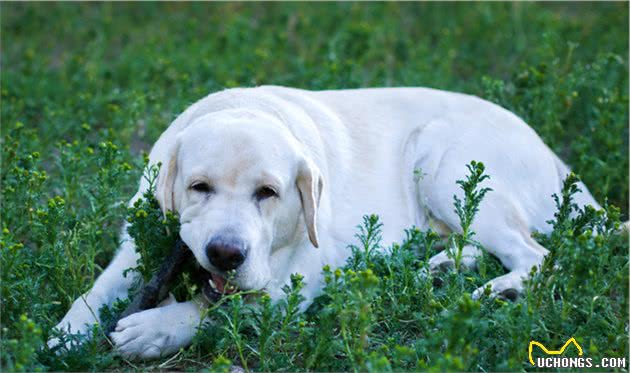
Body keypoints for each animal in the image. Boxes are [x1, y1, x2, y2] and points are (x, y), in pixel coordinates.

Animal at [48, 84, 604, 358]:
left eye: (268, 193)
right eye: (198, 187)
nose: (225, 253)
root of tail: (552, 154)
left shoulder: (291, 286)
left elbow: (214, 311)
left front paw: (155, 329)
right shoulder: (132, 247)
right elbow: (95, 291)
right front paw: (66, 334)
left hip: (447, 161)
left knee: (536, 254)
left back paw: (497, 290)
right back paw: (442, 267)